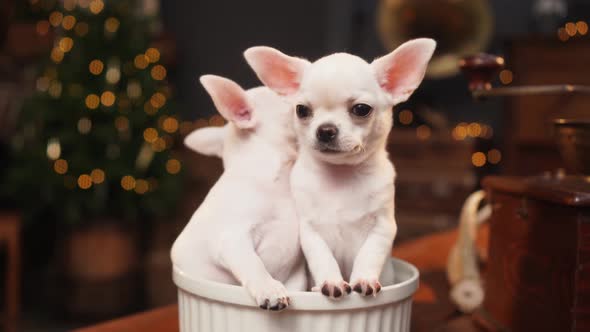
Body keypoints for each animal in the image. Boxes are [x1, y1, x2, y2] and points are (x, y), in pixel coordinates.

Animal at [244, 39, 434, 298]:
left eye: (361, 109)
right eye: (301, 110)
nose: (325, 130)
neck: (341, 173)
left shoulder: (383, 227)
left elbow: (369, 255)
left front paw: (364, 280)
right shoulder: (310, 232)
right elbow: (323, 258)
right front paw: (330, 282)